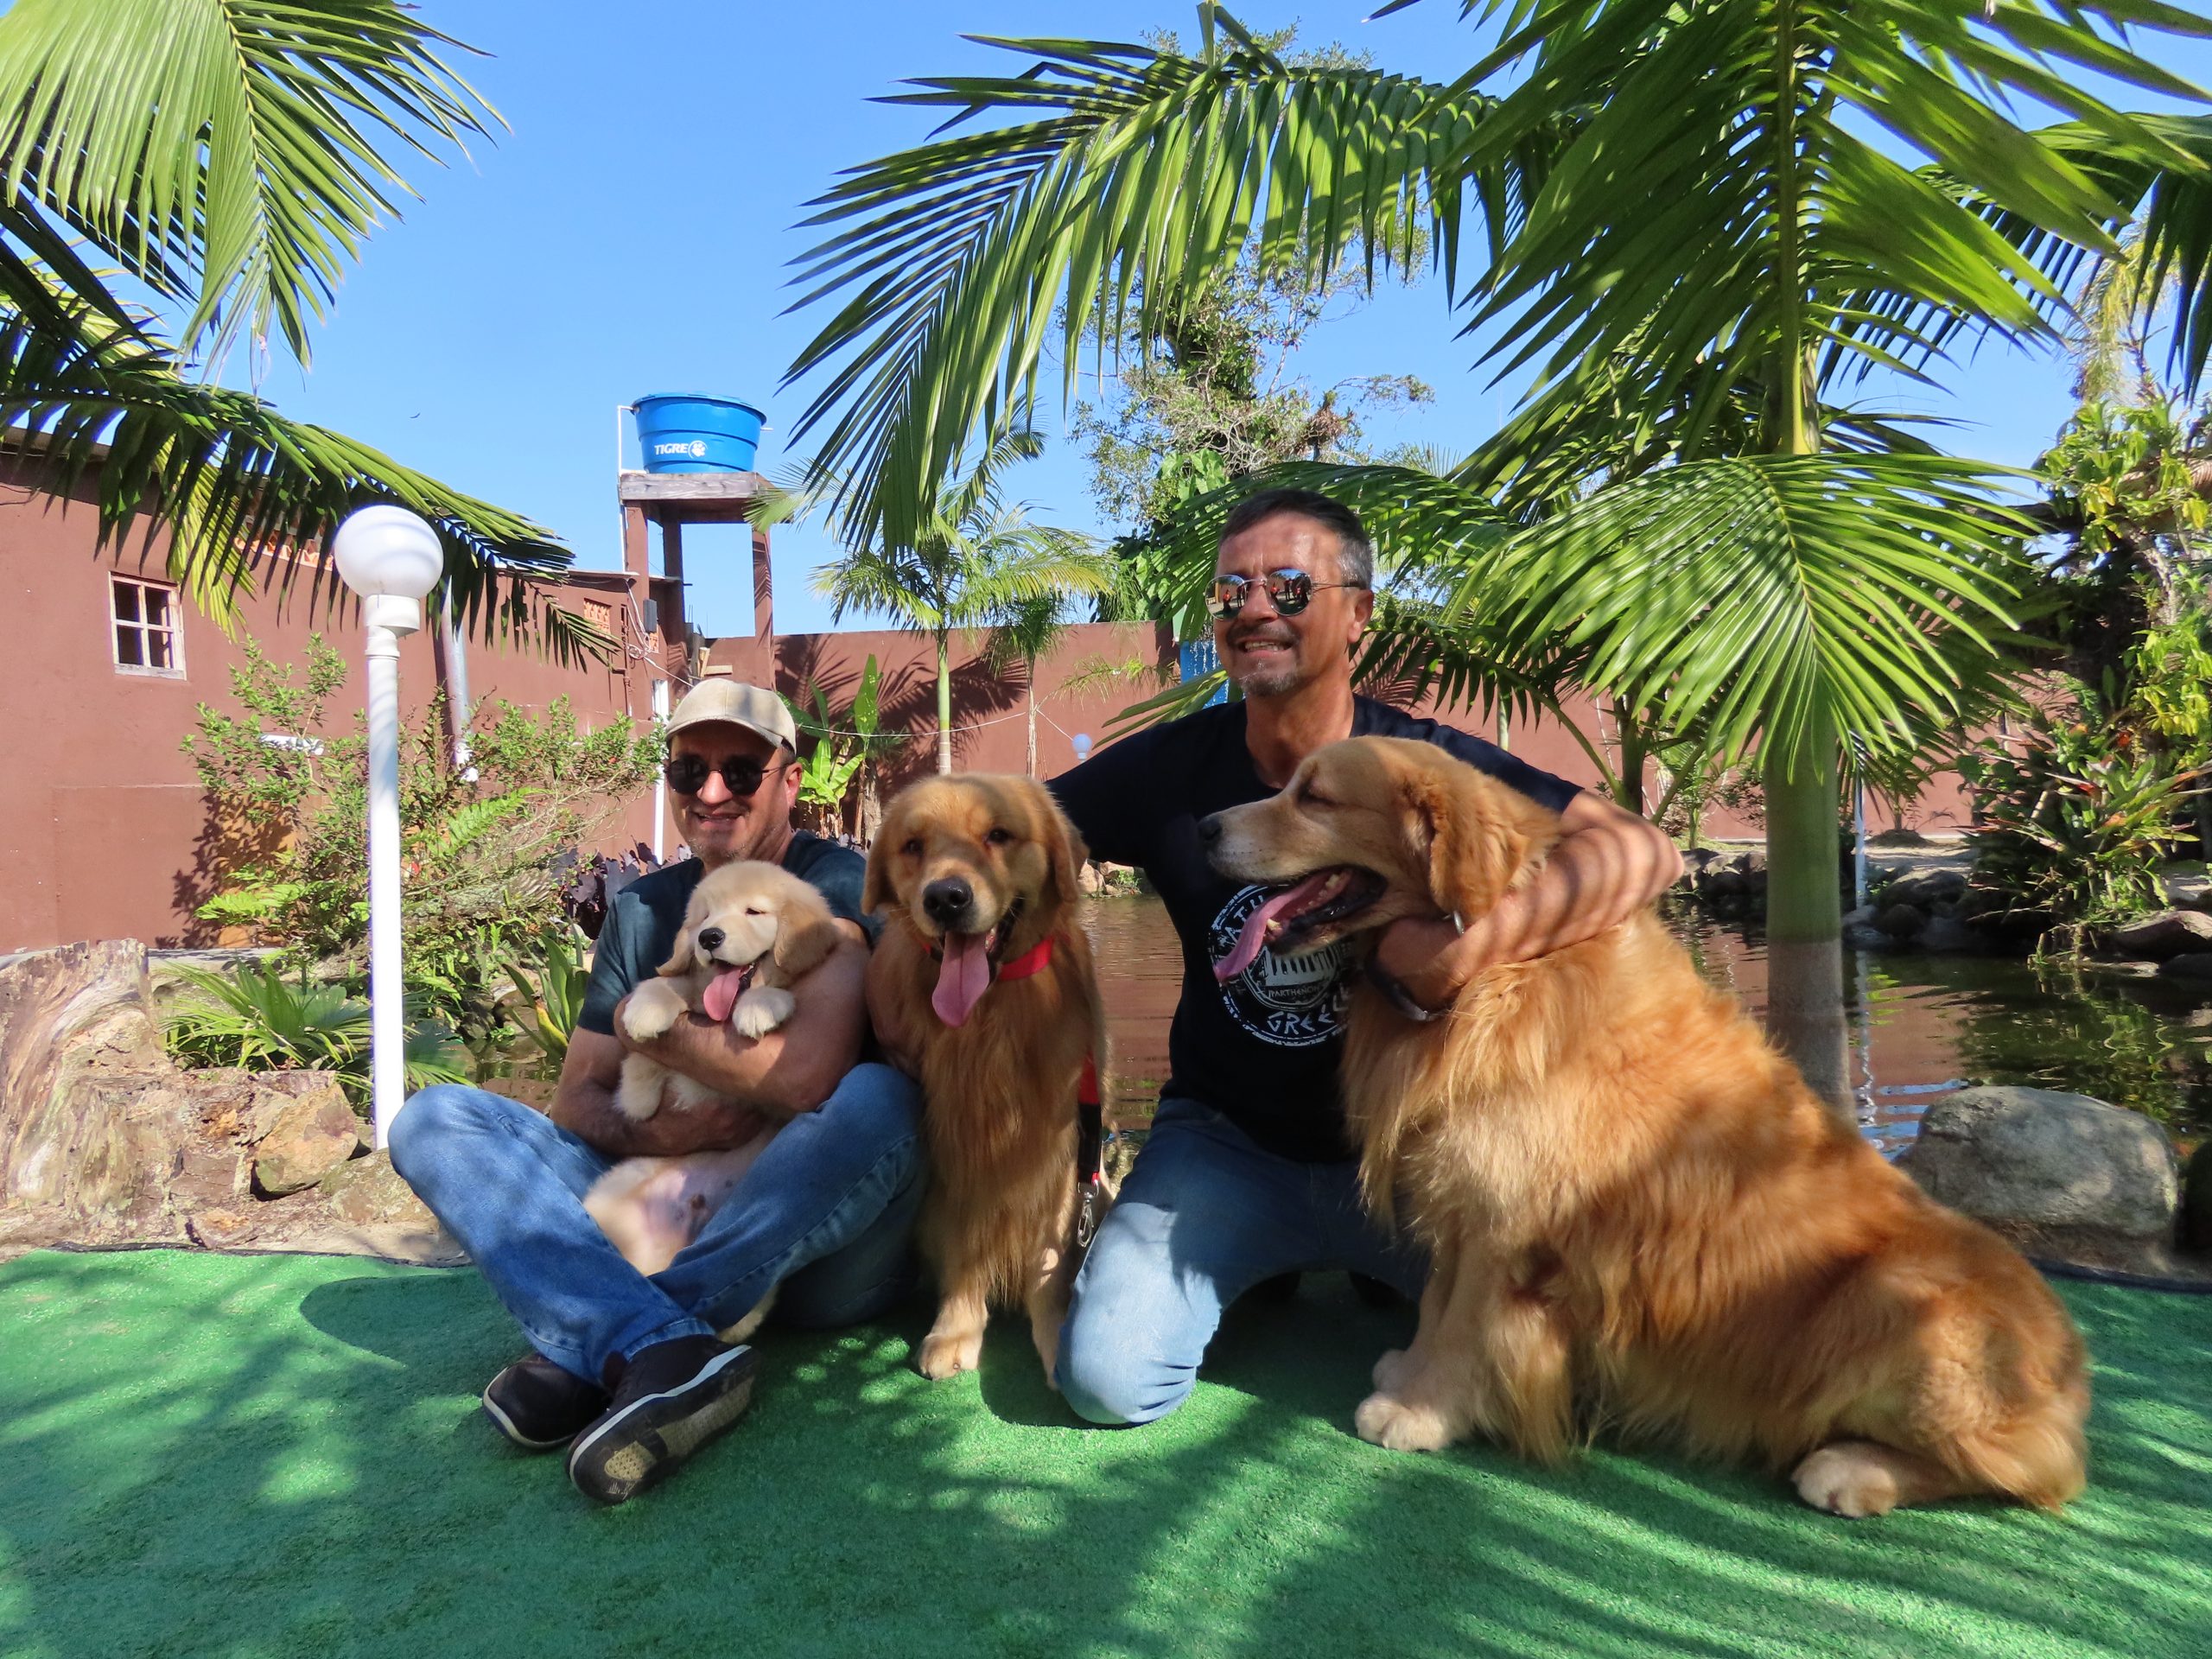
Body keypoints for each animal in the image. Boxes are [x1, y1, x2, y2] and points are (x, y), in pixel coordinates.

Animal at [581, 860, 843, 1340]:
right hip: (616, 1189)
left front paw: (760, 1006)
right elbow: (667, 992)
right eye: (704, 917)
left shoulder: (781, 1100)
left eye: (754, 911)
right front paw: (644, 1030)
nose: (709, 938)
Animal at [865, 774, 1108, 1385]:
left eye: (998, 835)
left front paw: (1055, 1333)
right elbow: (963, 1250)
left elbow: (1049, 1262)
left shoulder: (1060, 1155)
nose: (945, 899)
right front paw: (956, 1328)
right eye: (913, 846)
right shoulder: (954, 1158)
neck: (988, 1015)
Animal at [1203, 736, 2090, 1517]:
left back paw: (1851, 1469)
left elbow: (1465, 1325)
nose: (1206, 827)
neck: (1490, 976)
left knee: (2031, 1469)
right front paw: (1409, 1373)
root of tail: (2071, 1380)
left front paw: (1422, 1412)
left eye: (1314, 797)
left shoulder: (1503, 1225)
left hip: (1894, 1298)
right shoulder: (1462, 1196)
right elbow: (1435, 1306)